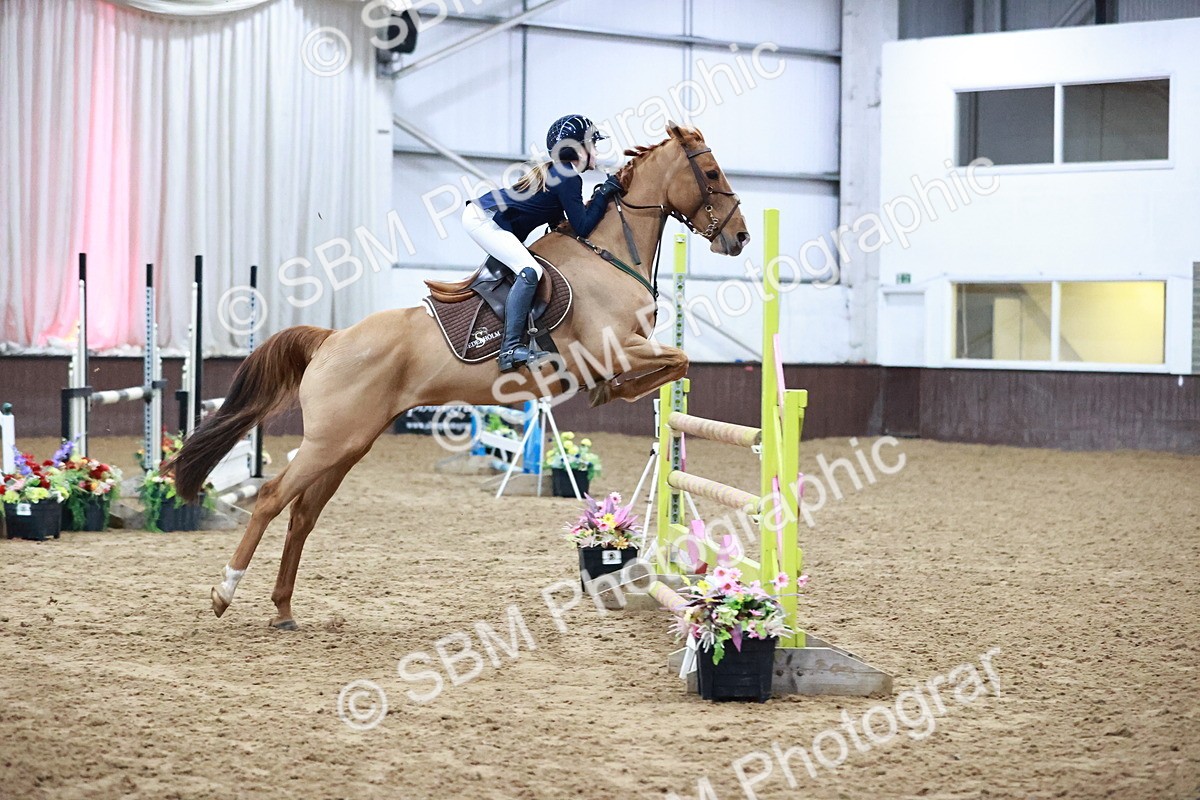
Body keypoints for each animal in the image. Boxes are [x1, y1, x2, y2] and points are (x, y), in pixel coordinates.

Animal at [166, 123, 750, 629]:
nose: (741, 237)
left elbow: (673, 365)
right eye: (711, 172)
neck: (608, 251)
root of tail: (331, 340)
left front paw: (619, 396)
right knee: (271, 499)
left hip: (348, 445)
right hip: (329, 442)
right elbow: (677, 360)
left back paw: (284, 609)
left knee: (302, 515)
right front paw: (613, 392)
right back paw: (224, 592)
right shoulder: (618, 349)